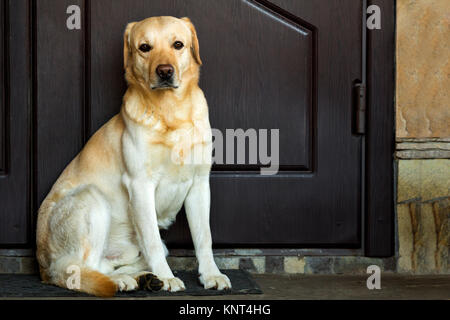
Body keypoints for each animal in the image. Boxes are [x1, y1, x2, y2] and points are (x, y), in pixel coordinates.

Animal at [36, 16, 230, 298]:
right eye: (145, 47)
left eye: (178, 44)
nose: (164, 71)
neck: (170, 112)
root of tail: (43, 268)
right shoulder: (140, 185)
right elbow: (151, 239)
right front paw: (167, 277)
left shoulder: (200, 185)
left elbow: (204, 237)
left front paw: (211, 275)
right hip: (91, 199)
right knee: (81, 269)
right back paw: (126, 281)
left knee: (104, 266)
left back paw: (139, 278)